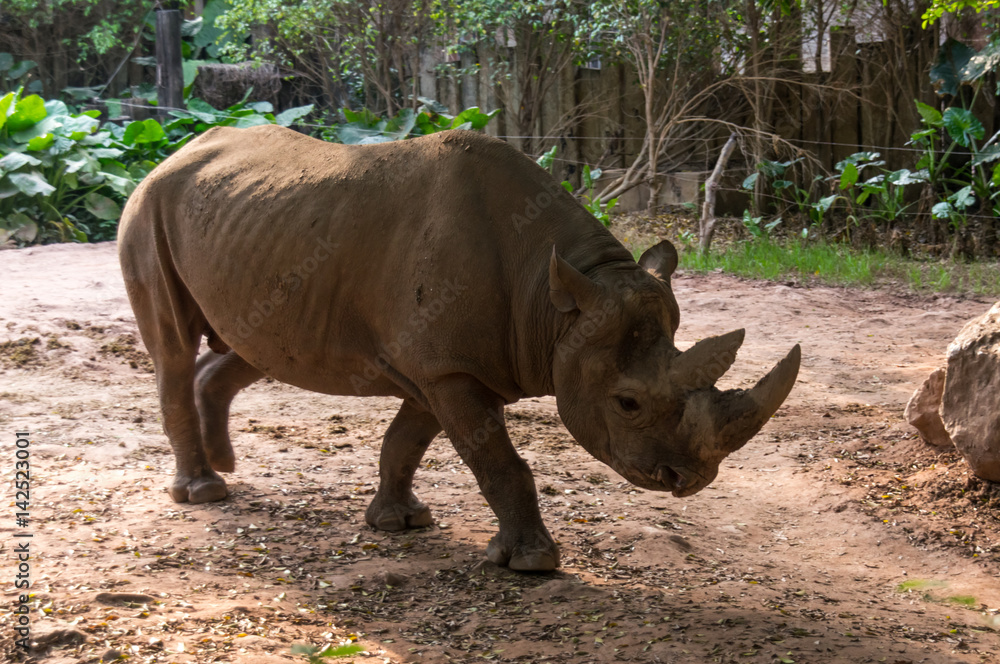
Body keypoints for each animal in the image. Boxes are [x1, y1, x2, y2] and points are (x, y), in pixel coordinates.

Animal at [118, 125, 800, 571]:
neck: (556, 299)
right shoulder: (449, 370)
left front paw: (398, 522)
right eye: (627, 403)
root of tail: (175, 152)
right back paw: (205, 491)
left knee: (252, 343)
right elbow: (498, 462)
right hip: (147, 209)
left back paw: (225, 466)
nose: (691, 480)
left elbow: (406, 442)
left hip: (254, 231)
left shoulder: (443, 366)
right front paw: (532, 563)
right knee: (173, 348)